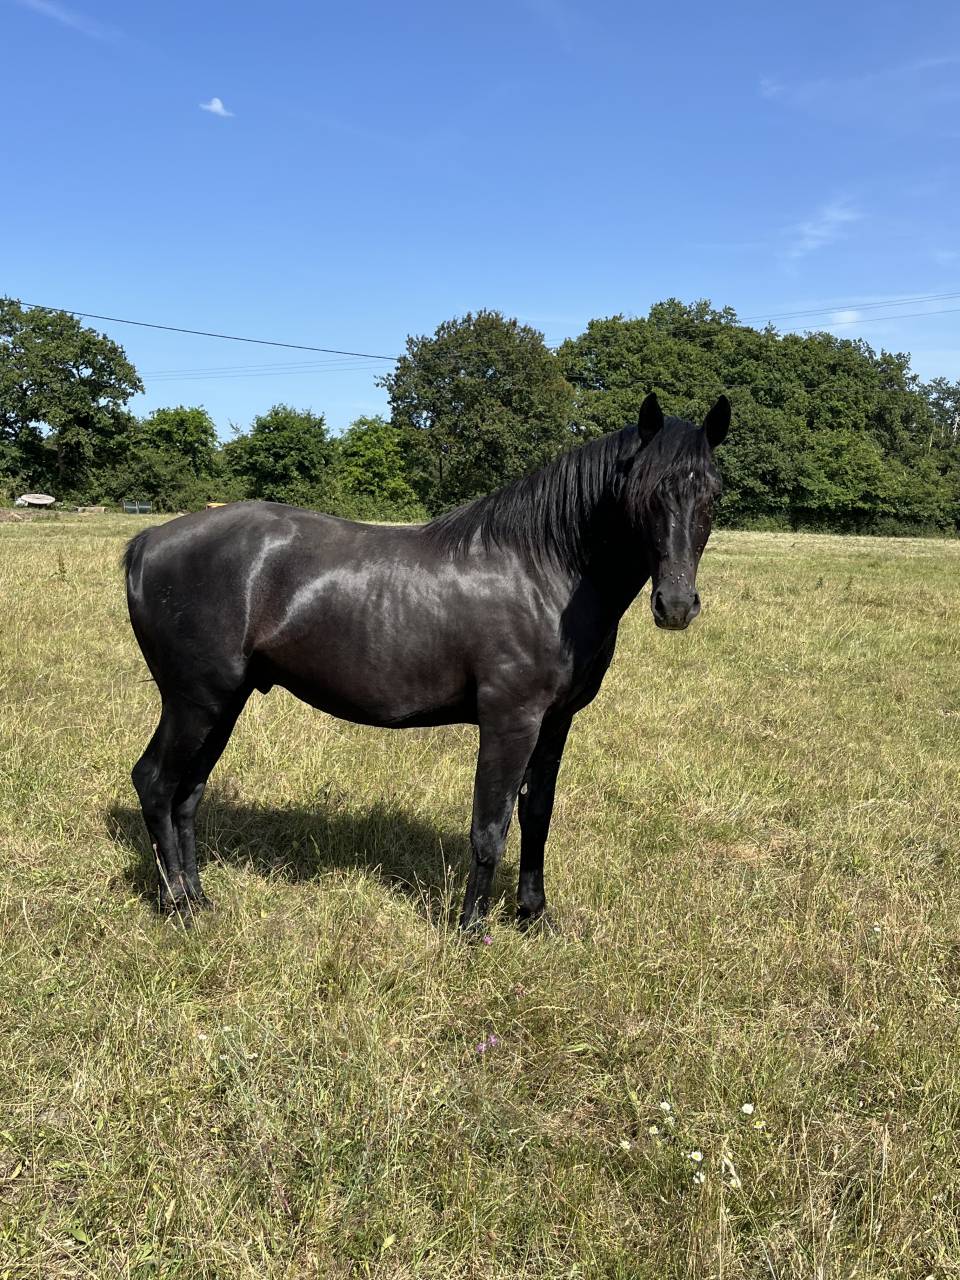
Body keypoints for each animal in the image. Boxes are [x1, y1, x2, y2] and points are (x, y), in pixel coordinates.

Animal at [124, 392, 729, 928]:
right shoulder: (510, 721)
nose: (676, 606)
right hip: (193, 703)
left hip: (224, 704)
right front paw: (472, 929)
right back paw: (178, 906)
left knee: (187, 796)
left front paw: (533, 917)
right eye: (645, 492)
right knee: (155, 783)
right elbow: (490, 826)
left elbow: (537, 816)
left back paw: (199, 899)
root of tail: (150, 540)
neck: (541, 572)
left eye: (712, 494)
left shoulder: (556, 721)